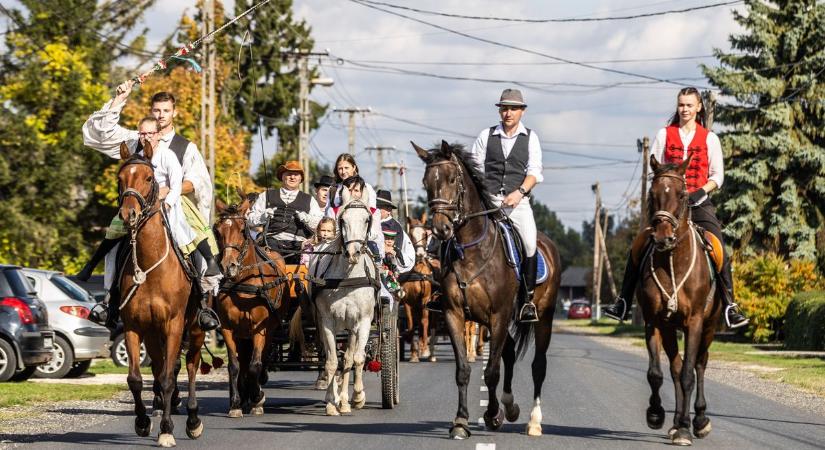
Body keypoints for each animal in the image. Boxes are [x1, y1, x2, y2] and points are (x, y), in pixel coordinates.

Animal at [114, 143, 204, 446]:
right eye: (120, 179)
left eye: (149, 178)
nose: (128, 214)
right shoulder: (134, 326)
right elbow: (136, 379)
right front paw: (142, 422)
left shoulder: (173, 324)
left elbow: (168, 377)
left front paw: (166, 430)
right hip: (153, 334)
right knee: (161, 367)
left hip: (196, 329)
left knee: (190, 366)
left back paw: (193, 419)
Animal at [212, 195, 290, 420]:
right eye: (217, 231)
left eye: (242, 230)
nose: (228, 266)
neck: (243, 284)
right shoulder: (228, 328)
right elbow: (234, 365)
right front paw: (236, 403)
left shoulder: (259, 329)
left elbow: (255, 365)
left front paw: (258, 398)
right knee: (244, 362)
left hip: (269, 329)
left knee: (260, 360)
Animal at [308, 190, 378, 414]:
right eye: (343, 220)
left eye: (366, 220)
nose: (353, 253)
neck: (347, 277)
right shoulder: (327, 322)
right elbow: (331, 362)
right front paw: (331, 402)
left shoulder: (362, 322)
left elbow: (356, 358)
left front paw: (357, 397)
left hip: (351, 327)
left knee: (348, 358)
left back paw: (347, 401)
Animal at [412, 142, 560, 440]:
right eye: (426, 183)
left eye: (452, 179)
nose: (441, 229)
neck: (472, 250)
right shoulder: (455, 314)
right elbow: (464, 369)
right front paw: (461, 421)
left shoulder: (499, 315)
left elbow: (491, 371)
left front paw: (491, 415)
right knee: (510, 353)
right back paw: (510, 407)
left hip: (543, 317)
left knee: (538, 366)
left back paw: (533, 421)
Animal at [636, 156, 720, 446]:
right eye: (652, 194)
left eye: (682, 195)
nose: (663, 237)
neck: (673, 259)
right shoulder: (654, 322)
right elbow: (656, 373)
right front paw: (655, 415)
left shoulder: (695, 322)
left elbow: (688, 374)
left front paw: (686, 428)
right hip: (671, 328)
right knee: (674, 367)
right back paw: (674, 423)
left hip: (709, 327)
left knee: (699, 364)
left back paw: (699, 420)